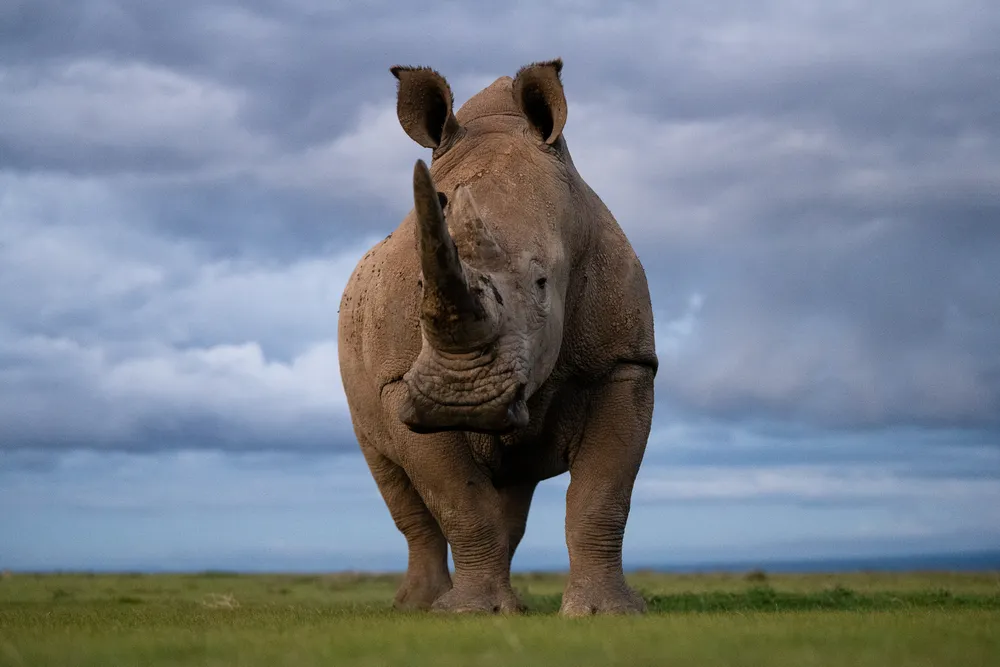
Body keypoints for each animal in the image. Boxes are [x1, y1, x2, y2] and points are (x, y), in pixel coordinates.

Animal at [340, 58, 660, 616]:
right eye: (419, 285)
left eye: (542, 282)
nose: (463, 400)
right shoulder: (400, 384)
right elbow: (459, 499)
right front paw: (468, 614)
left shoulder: (626, 363)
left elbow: (603, 495)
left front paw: (604, 613)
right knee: (394, 480)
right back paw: (418, 606)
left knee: (513, 488)